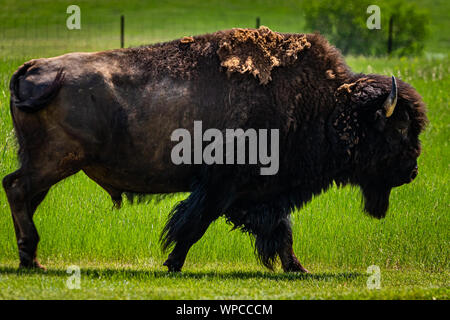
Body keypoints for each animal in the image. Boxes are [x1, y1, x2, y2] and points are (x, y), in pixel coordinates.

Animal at [2, 28, 426, 272]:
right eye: (399, 127)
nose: (412, 171)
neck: (328, 107)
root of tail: (33, 67)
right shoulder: (221, 186)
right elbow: (194, 225)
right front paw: (172, 264)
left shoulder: (258, 194)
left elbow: (281, 230)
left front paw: (297, 268)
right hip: (56, 161)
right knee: (16, 187)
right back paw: (31, 260)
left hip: (49, 164)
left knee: (24, 194)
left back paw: (31, 258)